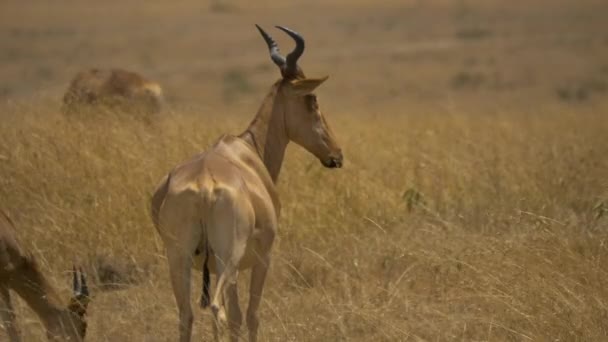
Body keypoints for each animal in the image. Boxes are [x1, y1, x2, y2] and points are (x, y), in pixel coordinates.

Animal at [150, 24, 344, 342]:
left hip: (178, 257)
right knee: (216, 308)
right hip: (227, 257)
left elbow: (237, 318)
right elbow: (251, 316)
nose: (336, 155)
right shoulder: (262, 259)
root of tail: (203, 186)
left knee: (186, 315)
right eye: (312, 100)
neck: (246, 149)